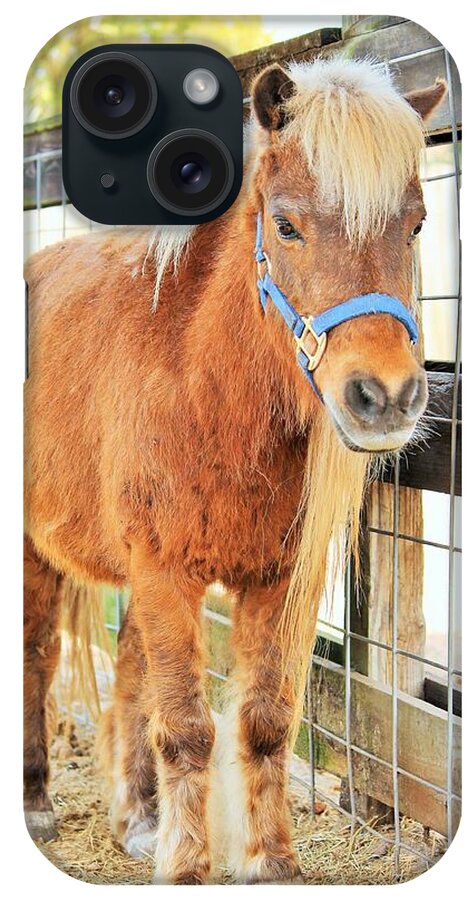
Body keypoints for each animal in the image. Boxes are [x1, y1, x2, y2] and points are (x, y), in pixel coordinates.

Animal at [24, 56, 446, 883]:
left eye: (415, 224)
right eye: (284, 224)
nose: (385, 397)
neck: (206, 387)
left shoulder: (274, 582)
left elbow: (263, 722)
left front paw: (269, 862)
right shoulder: (164, 571)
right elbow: (187, 728)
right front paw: (188, 867)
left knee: (130, 675)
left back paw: (138, 818)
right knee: (36, 657)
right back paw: (37, 803)